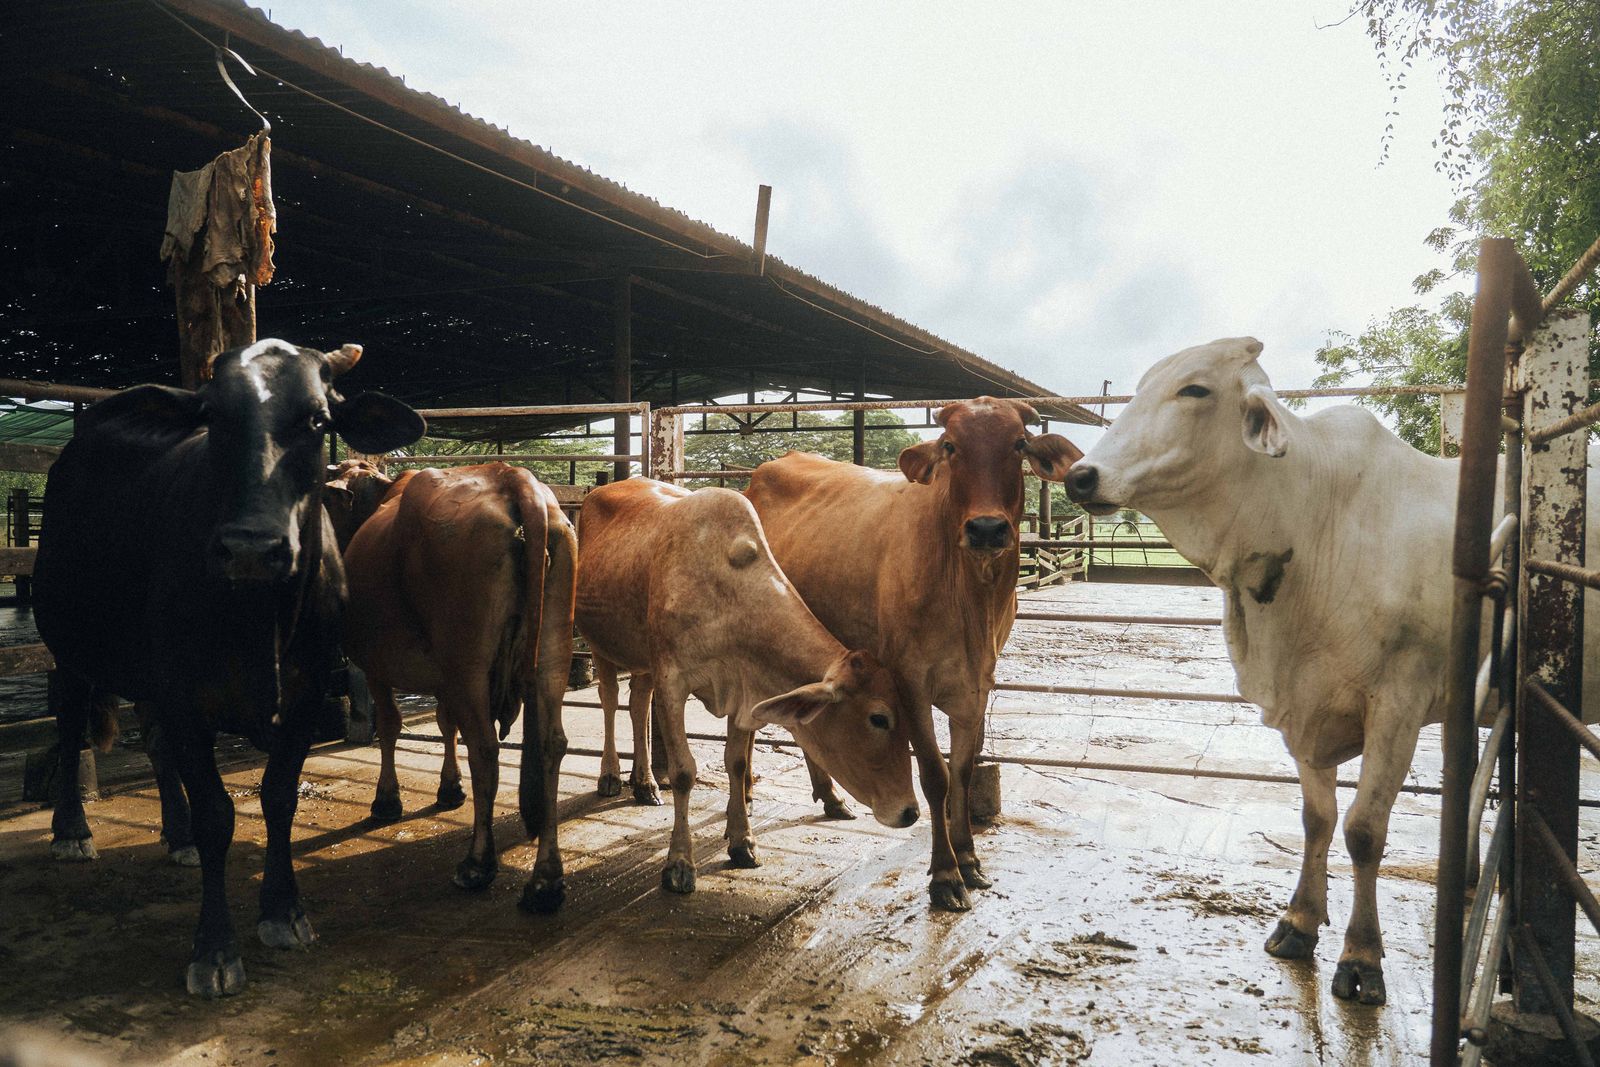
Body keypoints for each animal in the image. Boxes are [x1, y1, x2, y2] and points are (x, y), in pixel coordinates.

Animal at [33, 339, 424, 997]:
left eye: (317, 420)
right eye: (213, 416)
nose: (250, 546)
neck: (259, 616)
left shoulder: (306, 692)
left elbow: (279, 797)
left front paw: (284, 911)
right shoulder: (185, 693)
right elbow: (218, 814)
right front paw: (214, 949)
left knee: (154, 742)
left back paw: (177, 834)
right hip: (68, 645)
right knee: (69, 726)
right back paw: (73, 832)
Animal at [327, 460, 576, 911]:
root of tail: (512, 477)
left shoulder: (376, 665)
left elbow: (390, 726)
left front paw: (387, 800)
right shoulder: (443, 676)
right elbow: (446, 725)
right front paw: (449, 788)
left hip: (468, 661)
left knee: (485, 749)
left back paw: (478, 863)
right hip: (551, 653)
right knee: (551, 744)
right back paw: (546, 881)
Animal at [575, 478, 919, 892]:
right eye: (878, 718)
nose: (910, 811)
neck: (730, 595)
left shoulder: (740, 687)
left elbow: (737, 763)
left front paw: (742, 842)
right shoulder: (673, 682)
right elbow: (684, 772)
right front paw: (679, 863)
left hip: (641, 656)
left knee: (638, 703)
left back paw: (644, 783)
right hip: (600, 644)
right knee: (610, 701)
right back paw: (611, 775)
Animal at [746, 401, 1083, 911]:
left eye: (1019, 443)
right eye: (951, 445)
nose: (987, 529)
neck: (972, 597)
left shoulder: (977, 682)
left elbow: (962, 772)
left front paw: (969, 858)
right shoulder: (910, 682)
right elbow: (934, 777)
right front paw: (945, 875)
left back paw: (831, 797)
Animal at [1062, 335, 1482, 1005]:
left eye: (1195, 389)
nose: (1081, 476)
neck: (1316, 518)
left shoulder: (1400, 703)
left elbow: (1363, 831)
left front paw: (1362, 958)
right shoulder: (1304, 705)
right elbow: (1316, 819)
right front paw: (1299, 923)